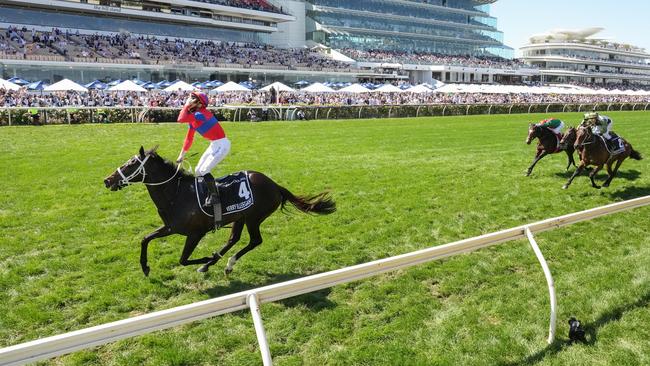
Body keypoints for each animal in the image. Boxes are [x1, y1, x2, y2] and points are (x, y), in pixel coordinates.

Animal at [104, 146, 336, 274]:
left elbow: (183, 259)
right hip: (240, 216)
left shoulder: (195, 233)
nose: (107, 180)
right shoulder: (171, 227)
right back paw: (215, 262)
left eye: (131, 164)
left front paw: (206, 258)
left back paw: (224, 262)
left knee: (255, 241)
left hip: (254, 217)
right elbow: (145, 239)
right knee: (234, 239)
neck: (176, 194)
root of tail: (274, 185)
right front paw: (144, 267)